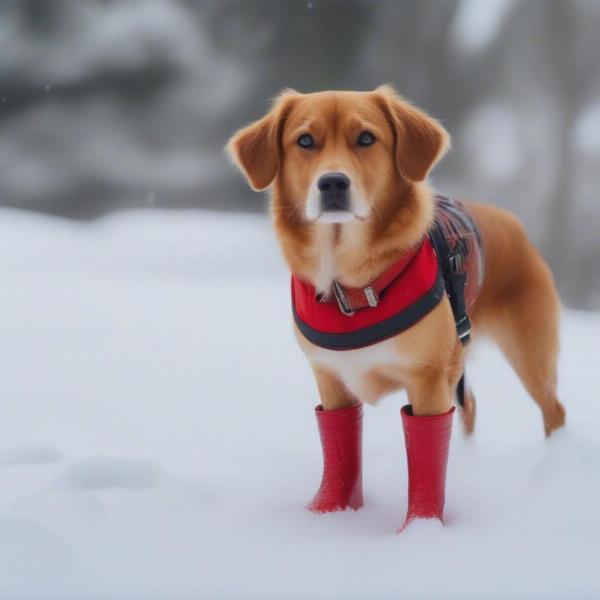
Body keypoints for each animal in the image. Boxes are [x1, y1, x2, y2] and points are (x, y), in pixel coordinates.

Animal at [226, 85, 568, 528]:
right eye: (304, 141)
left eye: (366, 138)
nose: (332, 182)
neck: (349, 284)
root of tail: (512, 224)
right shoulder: (331, 379)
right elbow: (339, 444)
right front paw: (330, 513)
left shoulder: (427, 381)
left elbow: (427, 455)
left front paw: (421, 526)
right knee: (471, 409)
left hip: (530, 353)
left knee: (552, 410)